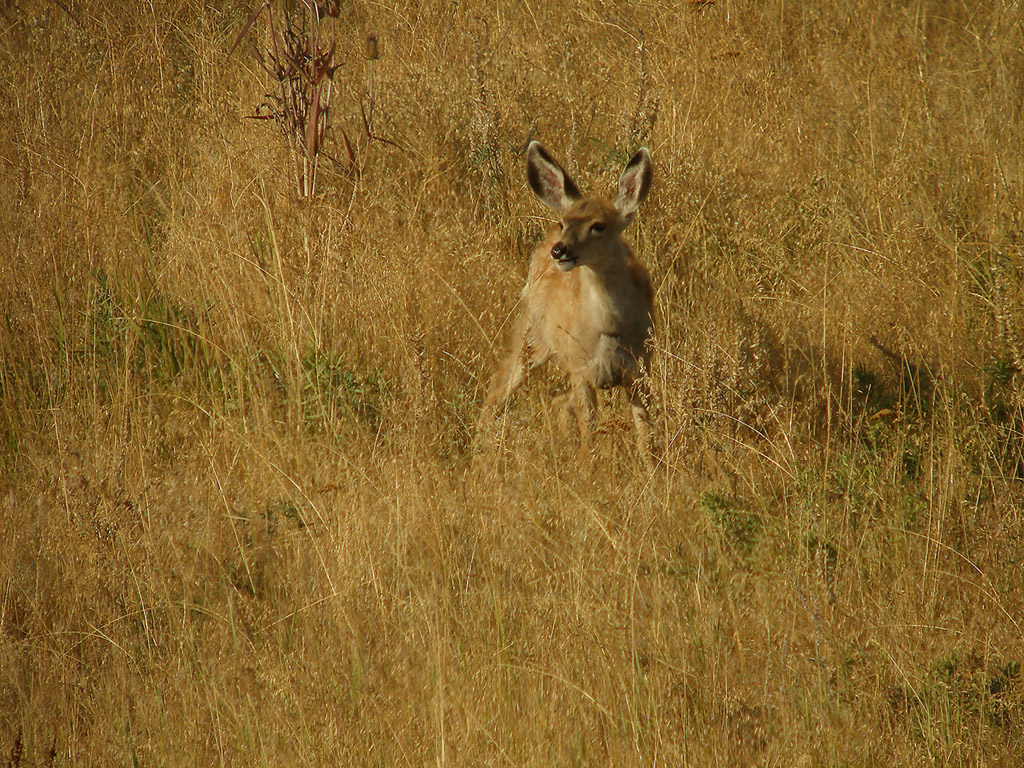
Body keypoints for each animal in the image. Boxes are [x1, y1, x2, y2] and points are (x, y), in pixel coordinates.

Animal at [483, 141, 656, 464]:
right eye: (565, 223)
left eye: (599, 225)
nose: (560, 250)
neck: (608, 327)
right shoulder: (580, 369)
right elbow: (590, 436)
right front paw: (589, 470)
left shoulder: (640, 367)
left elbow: (646, 436)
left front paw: (655, 472)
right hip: (533, 336)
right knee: (498, 386)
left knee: (557, 402)